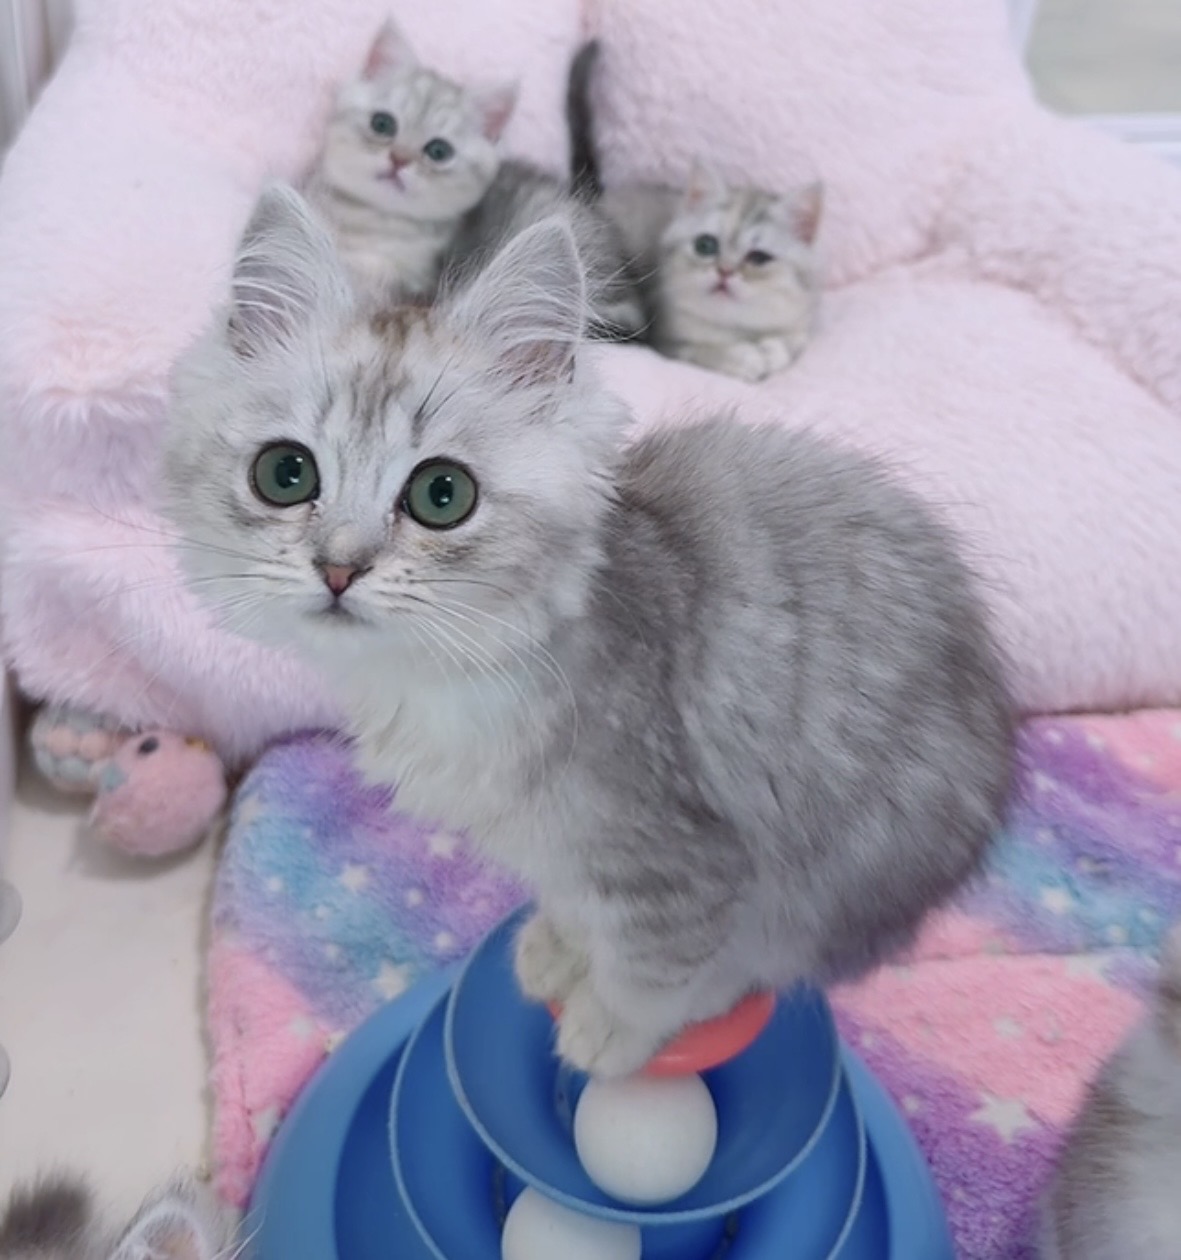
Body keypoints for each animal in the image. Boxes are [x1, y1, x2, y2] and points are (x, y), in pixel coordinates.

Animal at [163, 184, 1014, 1079]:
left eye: (441, 494)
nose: (338, 568)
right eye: (285, 474)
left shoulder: (680, 862)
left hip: (837, 878)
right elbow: (574, 908)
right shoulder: (560, 853)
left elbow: (654, 971)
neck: (444, 678)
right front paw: (559, 951)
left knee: (770, 963)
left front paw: (610, 1031)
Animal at [567, 40, 823, 382]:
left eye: (758, 258)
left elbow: (790, 343)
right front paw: (746, 357)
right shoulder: (667, 338)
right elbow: (707, 351)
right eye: (706, 245)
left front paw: (771, 349)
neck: (736, 328)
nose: (724, 271)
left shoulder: (798, 324)